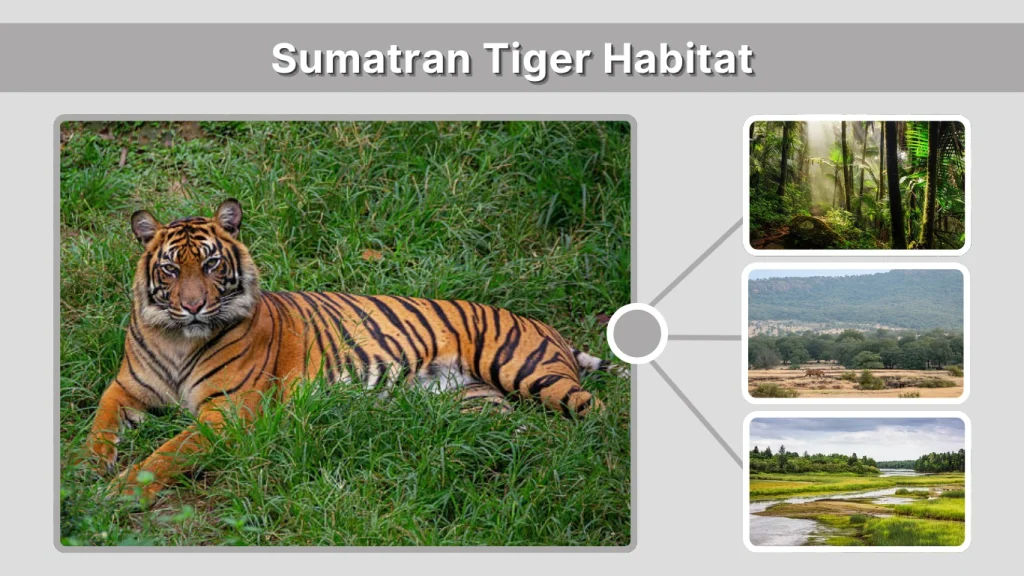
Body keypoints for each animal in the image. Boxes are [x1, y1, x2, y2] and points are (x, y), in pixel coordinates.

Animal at [84, 199, 621, 504]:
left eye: (213, 265)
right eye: (171, 269)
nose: (194, 306)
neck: (177, 339)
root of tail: (548, 327)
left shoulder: (227, 411)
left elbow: (167, 452)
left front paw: (120, 491)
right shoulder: (125, 387)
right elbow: (98, 424)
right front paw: (84, 468)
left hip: (524, 369)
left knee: (598, 411)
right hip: (479, 405)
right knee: (533, 435)